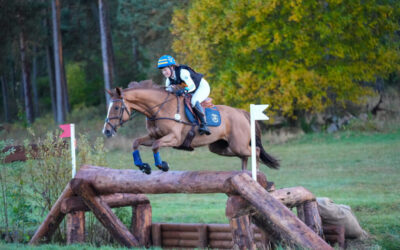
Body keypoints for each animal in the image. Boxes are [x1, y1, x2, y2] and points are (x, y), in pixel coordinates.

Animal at [103, 80, 278, 174]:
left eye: (116, 108)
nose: (106, 131)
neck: (158, 108)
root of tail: (241, 112)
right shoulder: (154, 136)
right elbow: (136, 143)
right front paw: (143, 166)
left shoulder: (174, 138)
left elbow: (155, 146)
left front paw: (162, 165)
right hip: (220, 147)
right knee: (244, 155)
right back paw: (244, 174)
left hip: (237, 144)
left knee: (255, 151)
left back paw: (256, 173)